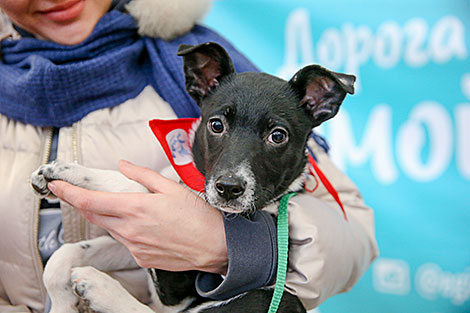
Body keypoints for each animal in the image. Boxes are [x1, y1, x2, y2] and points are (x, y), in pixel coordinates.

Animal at [31, 42, 354, 312]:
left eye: (278, 136)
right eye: (216, 125)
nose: (229, 188)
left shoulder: (175, 284)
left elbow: (139, 187)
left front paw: (71, 171)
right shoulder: (138, 249)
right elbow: (65, 255)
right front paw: (62, 304)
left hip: (270, 297)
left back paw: (99, 287)